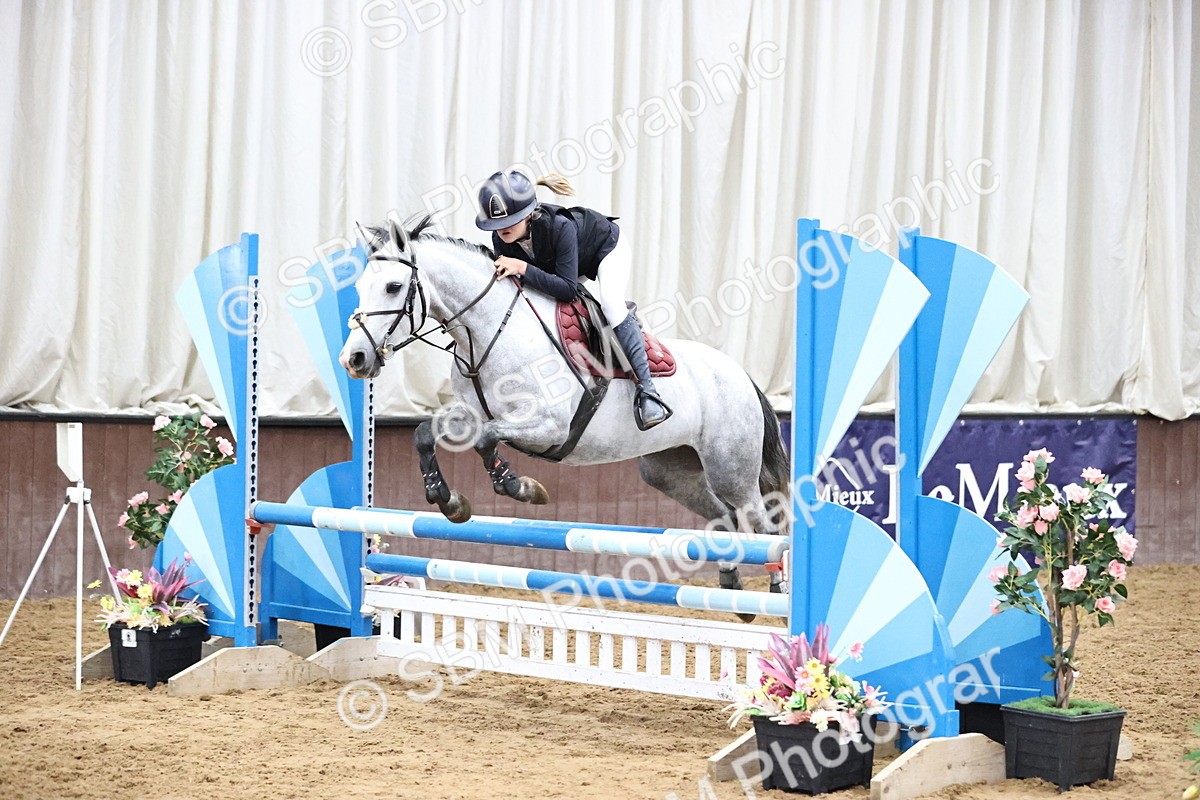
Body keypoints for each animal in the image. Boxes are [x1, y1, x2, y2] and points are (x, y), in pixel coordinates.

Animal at [338, 219, 790, 596]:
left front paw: (519, 487)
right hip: (670, 471)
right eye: (360, 288)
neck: (489, 331)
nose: (354, 359)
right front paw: (447, 499)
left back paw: (777, 591)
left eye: (393, 287)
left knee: (762, 524)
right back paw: (732, 584)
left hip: (731, 468)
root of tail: (740, 373)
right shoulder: (470, 415)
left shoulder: (548, 428)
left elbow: (487, 441)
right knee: (723, 517)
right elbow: (423, 434)